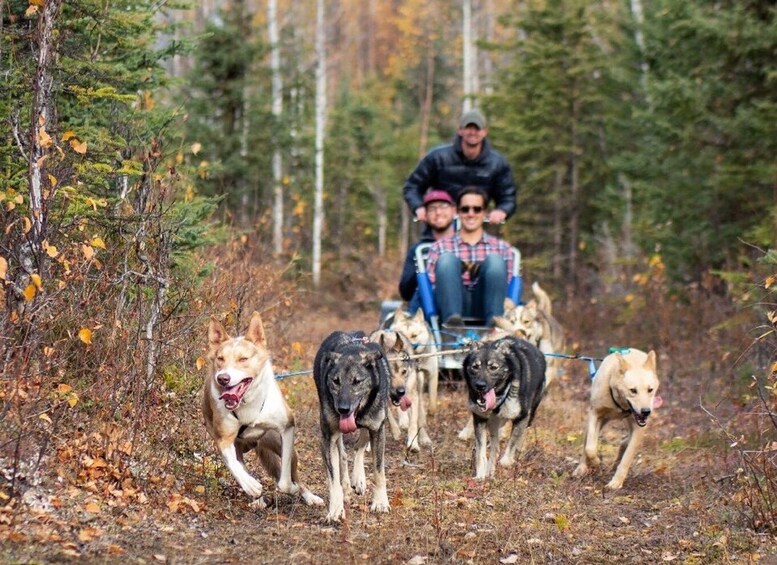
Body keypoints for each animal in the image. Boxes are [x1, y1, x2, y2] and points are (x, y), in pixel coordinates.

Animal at [203, 312, 322, 506]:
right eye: (220, 359)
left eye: (243, 359)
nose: (223, 378)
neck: (247, 403)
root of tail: (254, 444)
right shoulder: (223, 439)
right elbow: (233, 464)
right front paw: (251, 486)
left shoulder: (287, 429)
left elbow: (284, 481)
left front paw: (291, 488)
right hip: (239, 447)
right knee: (240, 463)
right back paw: (257, 499)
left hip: (280, 444)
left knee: (296, 476)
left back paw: (308, 496)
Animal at [312, 330, 392, 520]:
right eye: (336, 381)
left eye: (357, 381)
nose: (343, 409)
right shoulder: (328, 437)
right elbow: (333, 477)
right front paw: (335, 508)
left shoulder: (377, 430)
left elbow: (379, 471)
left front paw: (380, 502)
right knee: (342, 455)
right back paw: (347, 486)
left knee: (359, 446)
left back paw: (358, 479)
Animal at [460, 338, 544, 478]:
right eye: (475, 367)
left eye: (493, 367)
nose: (480, 386)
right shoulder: (480, 419)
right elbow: (480, 452)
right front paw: (481, 474)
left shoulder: (522, 417)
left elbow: (512, 444)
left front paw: (507, 461)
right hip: (494, 424)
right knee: (495, 445)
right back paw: (490, 470)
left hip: (531, 413)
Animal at [568, 346, 660, 486]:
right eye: (633, 390)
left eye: (650, 390)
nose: (645, 411)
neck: (619, 405)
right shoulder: (595, 414)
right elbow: (590, 448)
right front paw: (596, 462)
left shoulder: (639, 428)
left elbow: (627, 458)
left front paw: (616, 483)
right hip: (597, 422)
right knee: (586, 445)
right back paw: (581, 468)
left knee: (625, 442)